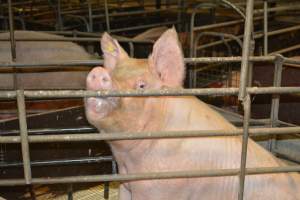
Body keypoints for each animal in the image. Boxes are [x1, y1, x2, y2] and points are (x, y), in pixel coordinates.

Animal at [85, 28, 300, 200]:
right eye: (114, 75)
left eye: (141, 86)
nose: (97, 72)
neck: (129, 160)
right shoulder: (126, 184)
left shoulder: (162, 187)